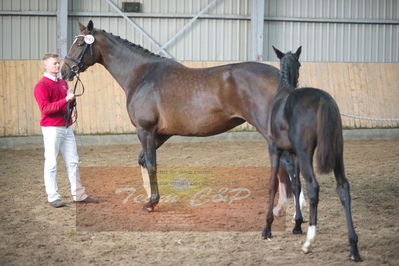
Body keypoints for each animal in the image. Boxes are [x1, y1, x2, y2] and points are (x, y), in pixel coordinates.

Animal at [61, 21, 294, 214]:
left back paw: (283, 207)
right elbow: (143, 160)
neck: (142, 75)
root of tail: (278, 77)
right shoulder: (161, 133)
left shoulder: (145, 130)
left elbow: (151, 163)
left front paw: (151, 203)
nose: (64, 72)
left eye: (80, 44)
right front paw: (149, 198)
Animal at [264, 46, 364, 262]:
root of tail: (323, 99)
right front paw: (296, 224)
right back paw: (353, 248)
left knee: (313, 187)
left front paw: (267, 228)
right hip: (336, 154)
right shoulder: (293, 154)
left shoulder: (275, 150)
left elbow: (273, 185)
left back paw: (309, 243)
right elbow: (295, 185)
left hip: (305, 154)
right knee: (343, 188)